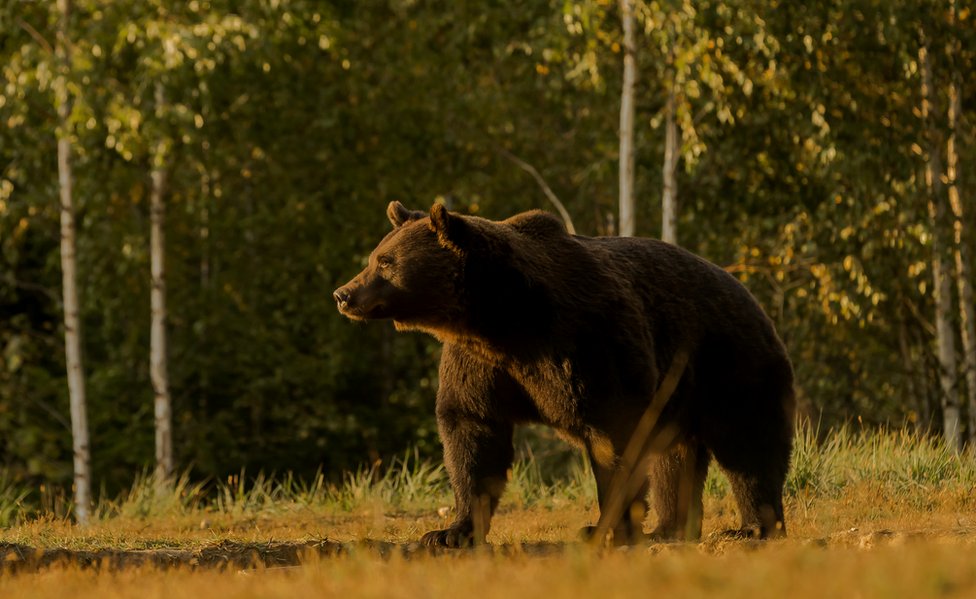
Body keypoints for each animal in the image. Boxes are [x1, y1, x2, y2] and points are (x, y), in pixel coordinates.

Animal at [334, 203, 792, 548]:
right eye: (375, 256)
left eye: (385, 262)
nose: (343, 293)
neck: (503, 318)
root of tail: (746, 292)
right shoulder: (479, 364)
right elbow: (472, 433)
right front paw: (451, 531)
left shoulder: (587, 343)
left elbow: (615, 438)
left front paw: (606, 527)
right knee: (675, 458)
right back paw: (670, 528)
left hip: (730, 363)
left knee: (749, 445)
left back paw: (753, 526)